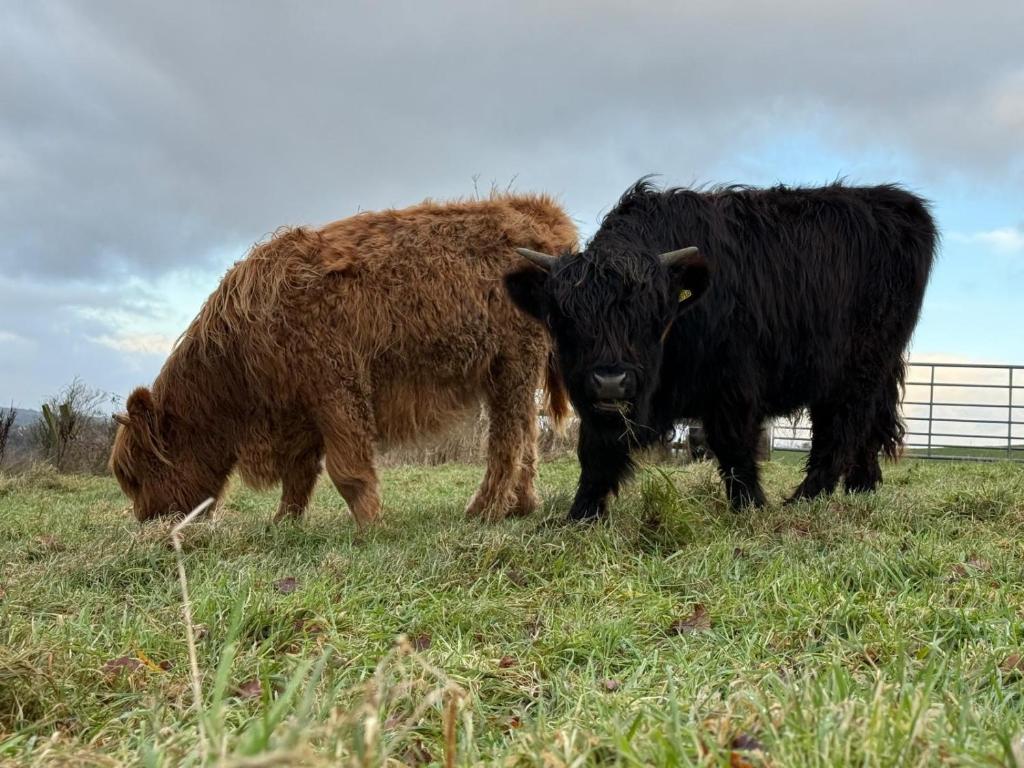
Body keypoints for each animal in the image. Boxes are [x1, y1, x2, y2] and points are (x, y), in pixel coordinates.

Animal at [109, 194, 577, 527]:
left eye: (134, 475)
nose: (146, 523)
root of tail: (538, 214)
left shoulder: (336, 389)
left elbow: (347, 470)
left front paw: (372, 526)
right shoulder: (300, 414)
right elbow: (298, 477)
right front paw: (283, 523)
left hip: (512, 362)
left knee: (509, 441)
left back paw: (485, 509)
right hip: (511, 371)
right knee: (526, 436)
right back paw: (520, 506)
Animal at [505, 180, 937, 519]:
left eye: (653, 316)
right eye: (563, 319)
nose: (611, 381)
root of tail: (897, 202)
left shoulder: (734, 385)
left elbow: (733, 446)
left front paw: (750, 506)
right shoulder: (598, 403)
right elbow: (595, 452)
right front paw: (581, 514)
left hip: (857, 368)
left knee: (841, 429)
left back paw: (804, 499)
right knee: (868, 426)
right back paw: (861, 487)